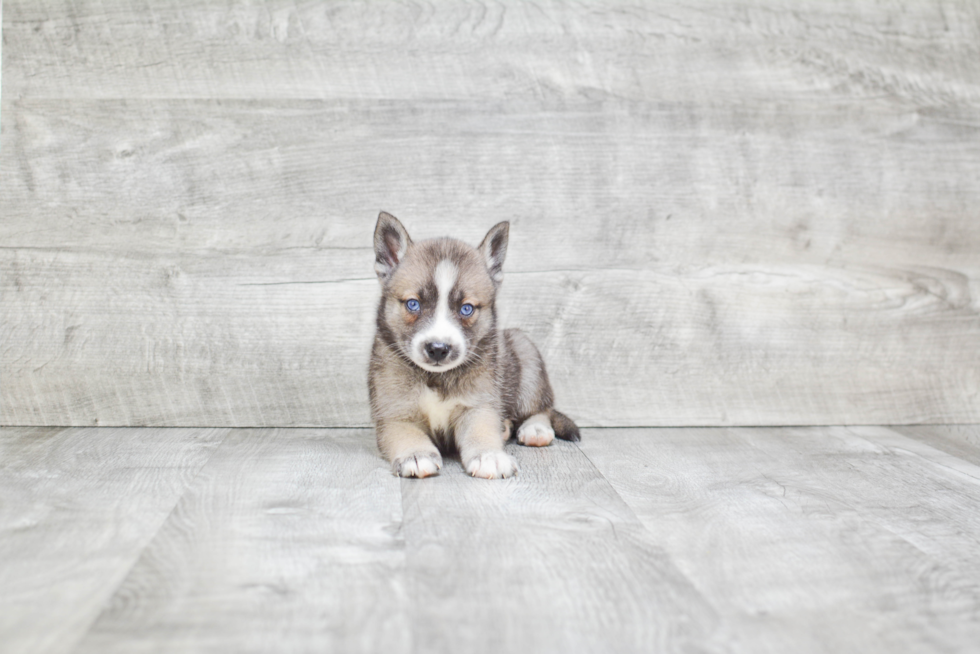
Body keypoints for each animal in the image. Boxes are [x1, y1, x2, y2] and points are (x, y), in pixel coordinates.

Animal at [370, 213, 580, 480]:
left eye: (466, 308)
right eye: (413, 304)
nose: (438, 349)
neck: (437, 378)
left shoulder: (479, 405)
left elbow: (481, 431)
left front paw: (489, 455)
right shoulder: (395, 415)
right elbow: (408, 435)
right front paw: (415, 454)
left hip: (527, 356)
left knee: (542, 408)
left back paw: (535, 429)